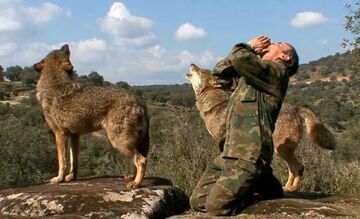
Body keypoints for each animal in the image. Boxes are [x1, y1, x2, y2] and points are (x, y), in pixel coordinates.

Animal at [34, 44, 149, 188]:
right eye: (60, 49)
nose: (66, 44)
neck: (54, 84)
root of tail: (139, 100)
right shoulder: (74, 135)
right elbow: (73, 160)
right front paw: (71, 177)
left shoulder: (59, 133)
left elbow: (62, 161)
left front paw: (59, 178)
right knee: (139, 159)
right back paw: (131, 178)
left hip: (119, 142)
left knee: (142, 160)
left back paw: (136, 183)